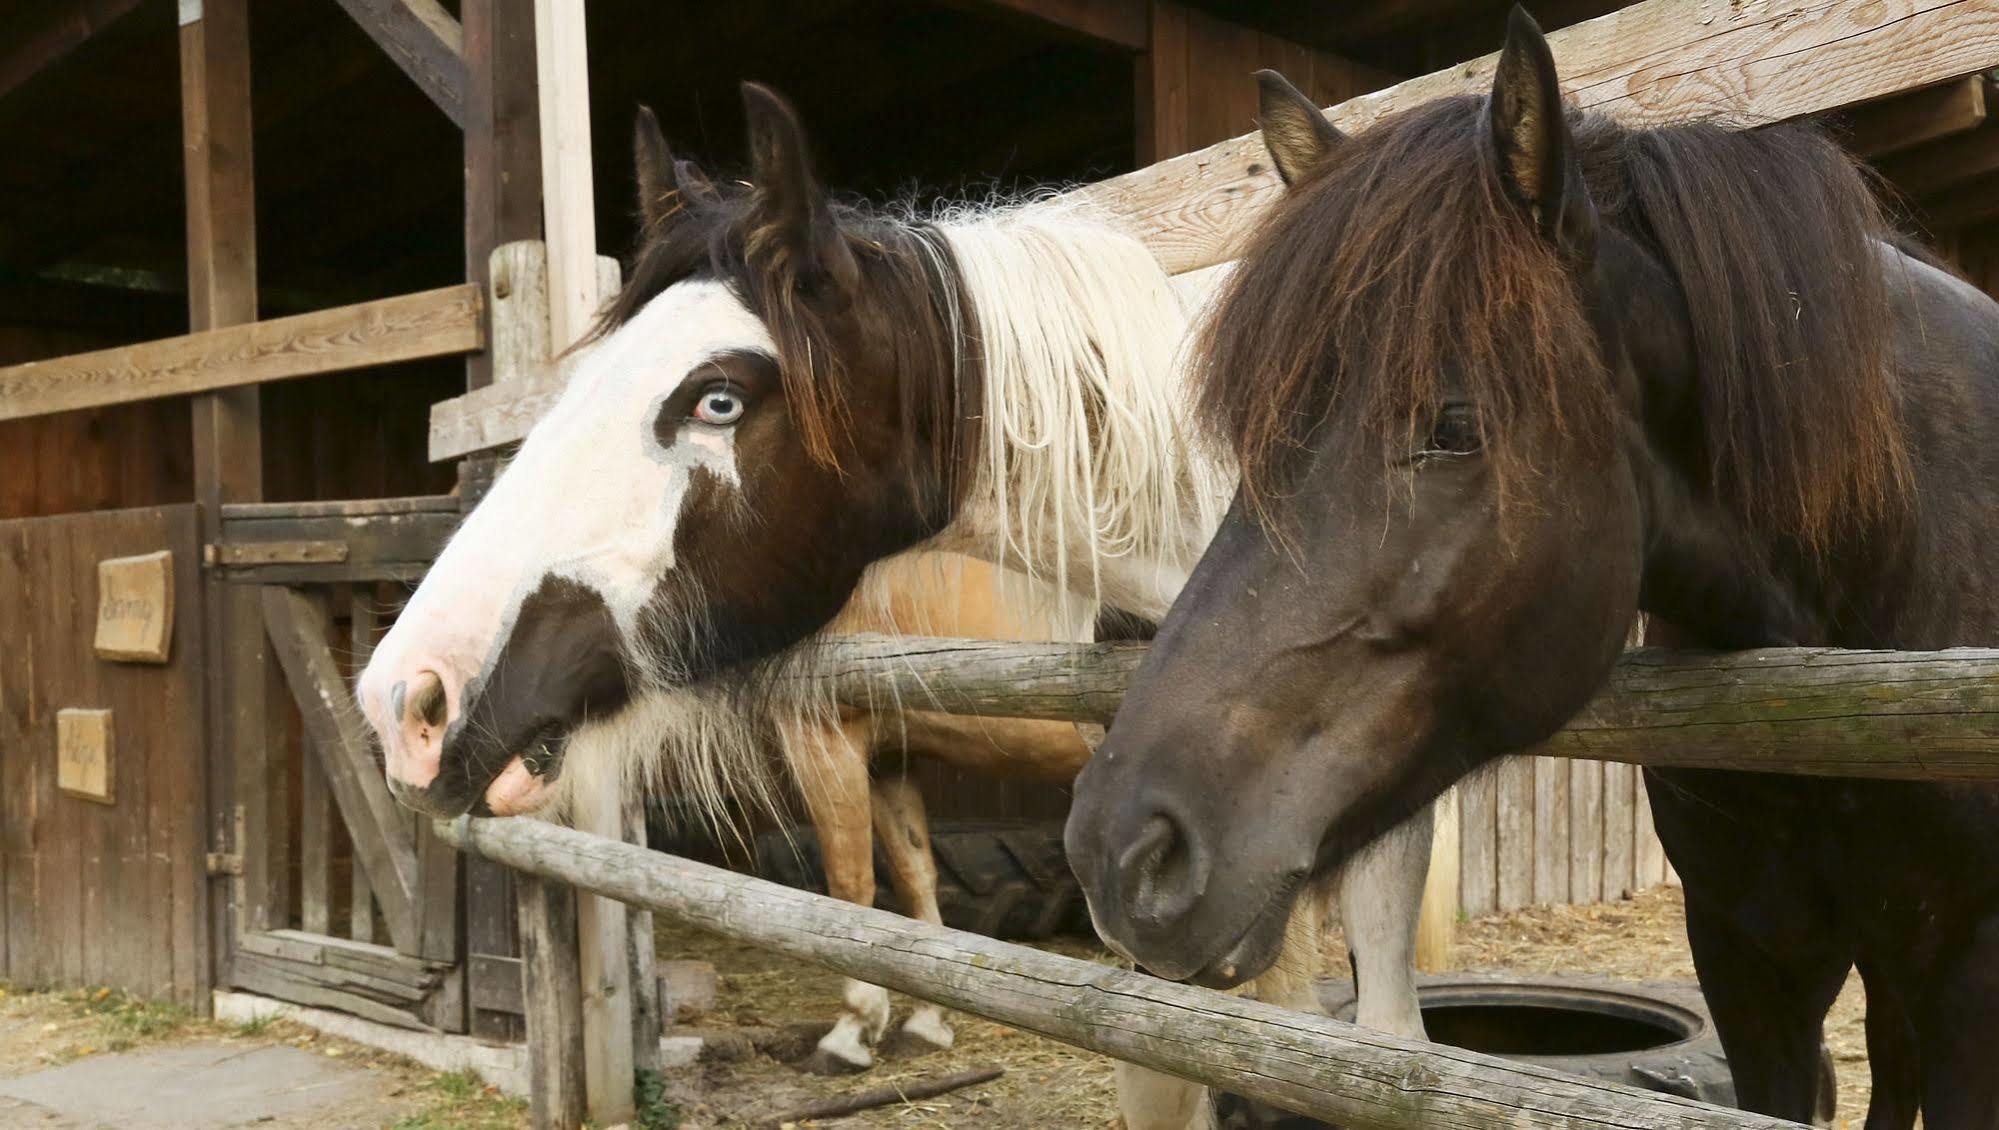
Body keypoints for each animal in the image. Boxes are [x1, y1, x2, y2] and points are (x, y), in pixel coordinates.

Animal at [351, 83, 1431, 1120]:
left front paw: (855, 1029)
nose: (409, 697)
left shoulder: (825, 738)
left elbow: (850, 885)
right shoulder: (903, 760)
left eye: (717, 399)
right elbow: (911, 880)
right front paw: (926, 1020)